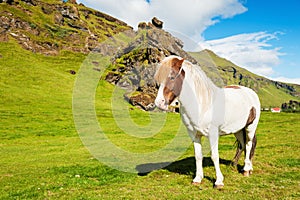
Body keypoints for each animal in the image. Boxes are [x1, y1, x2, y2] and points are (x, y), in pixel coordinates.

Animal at [155, 55, 260, 188]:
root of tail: (251, 93)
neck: (202, 104)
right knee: (242, 145)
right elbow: (198, 156)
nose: (159, 103)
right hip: (238, 129)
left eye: (172, 77)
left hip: (250, 127)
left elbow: (215, 156)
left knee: (249, 144)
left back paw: (246, 169)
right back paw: (236, 165)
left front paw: (219, 181)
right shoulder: (194, 135)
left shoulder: (213, 134)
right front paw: (197, 179)